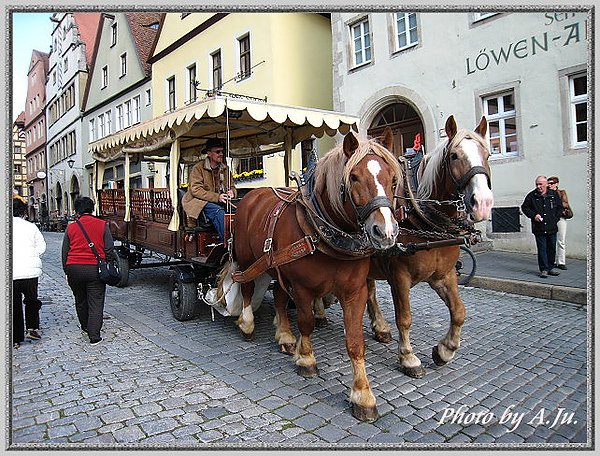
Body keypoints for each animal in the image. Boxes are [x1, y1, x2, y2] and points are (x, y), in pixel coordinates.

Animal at [227, 128, 400, 420]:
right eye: (354, 177)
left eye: (393, 178)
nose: (385, 232)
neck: (322, 232)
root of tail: (250, 195)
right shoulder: (303, 287)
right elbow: (306, 323)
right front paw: (306, 359)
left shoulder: (354, 292)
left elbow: (355, 342)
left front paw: (363, 395)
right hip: (247, 258)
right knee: (248, 287)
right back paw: (247, 323)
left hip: (275, 264)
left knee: (278, 296)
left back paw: (285, 335)